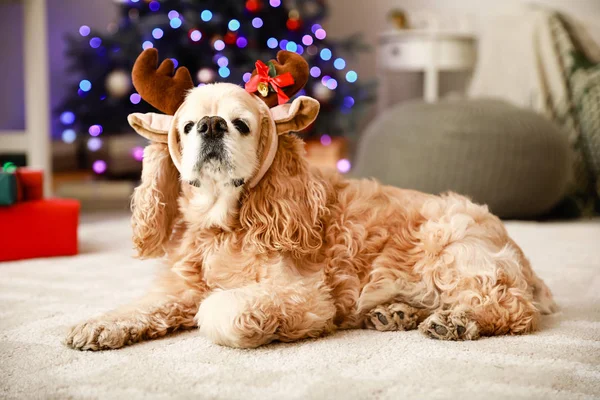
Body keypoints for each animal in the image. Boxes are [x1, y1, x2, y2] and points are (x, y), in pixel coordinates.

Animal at [65, 49, 556, 350]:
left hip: (453, 247)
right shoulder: (178, 288)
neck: (223, 227)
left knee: (513, 308)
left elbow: (219, 310)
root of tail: (521, 257)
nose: (210, 125)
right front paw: (98, 324)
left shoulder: (302, 295)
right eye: (187, 126)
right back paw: (395, 313)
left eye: (241, 124)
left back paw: (456, 320)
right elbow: (140, 306)